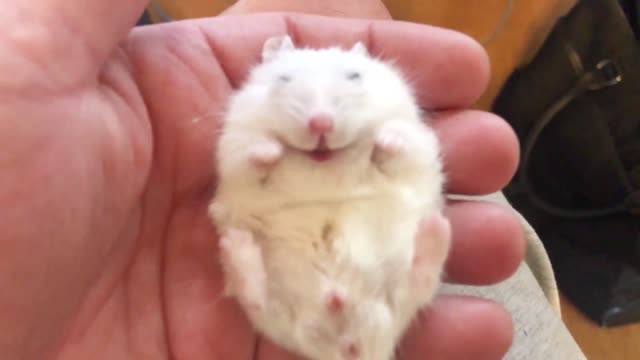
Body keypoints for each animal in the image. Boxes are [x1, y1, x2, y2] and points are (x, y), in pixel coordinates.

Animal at [209, 34, 450, 360]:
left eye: (355, 76)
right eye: (284, 78)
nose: (321, 123)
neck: (324, 163)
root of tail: (346, 346)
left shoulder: (413, 133)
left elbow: (398, 141)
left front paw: (383, 140)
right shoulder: (235, 144)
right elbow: (253, 154)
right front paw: (272, 150)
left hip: (399, 292)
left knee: (419, 282)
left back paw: (435, 228)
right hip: (277, 316)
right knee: (256, 297)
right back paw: (237, 246)